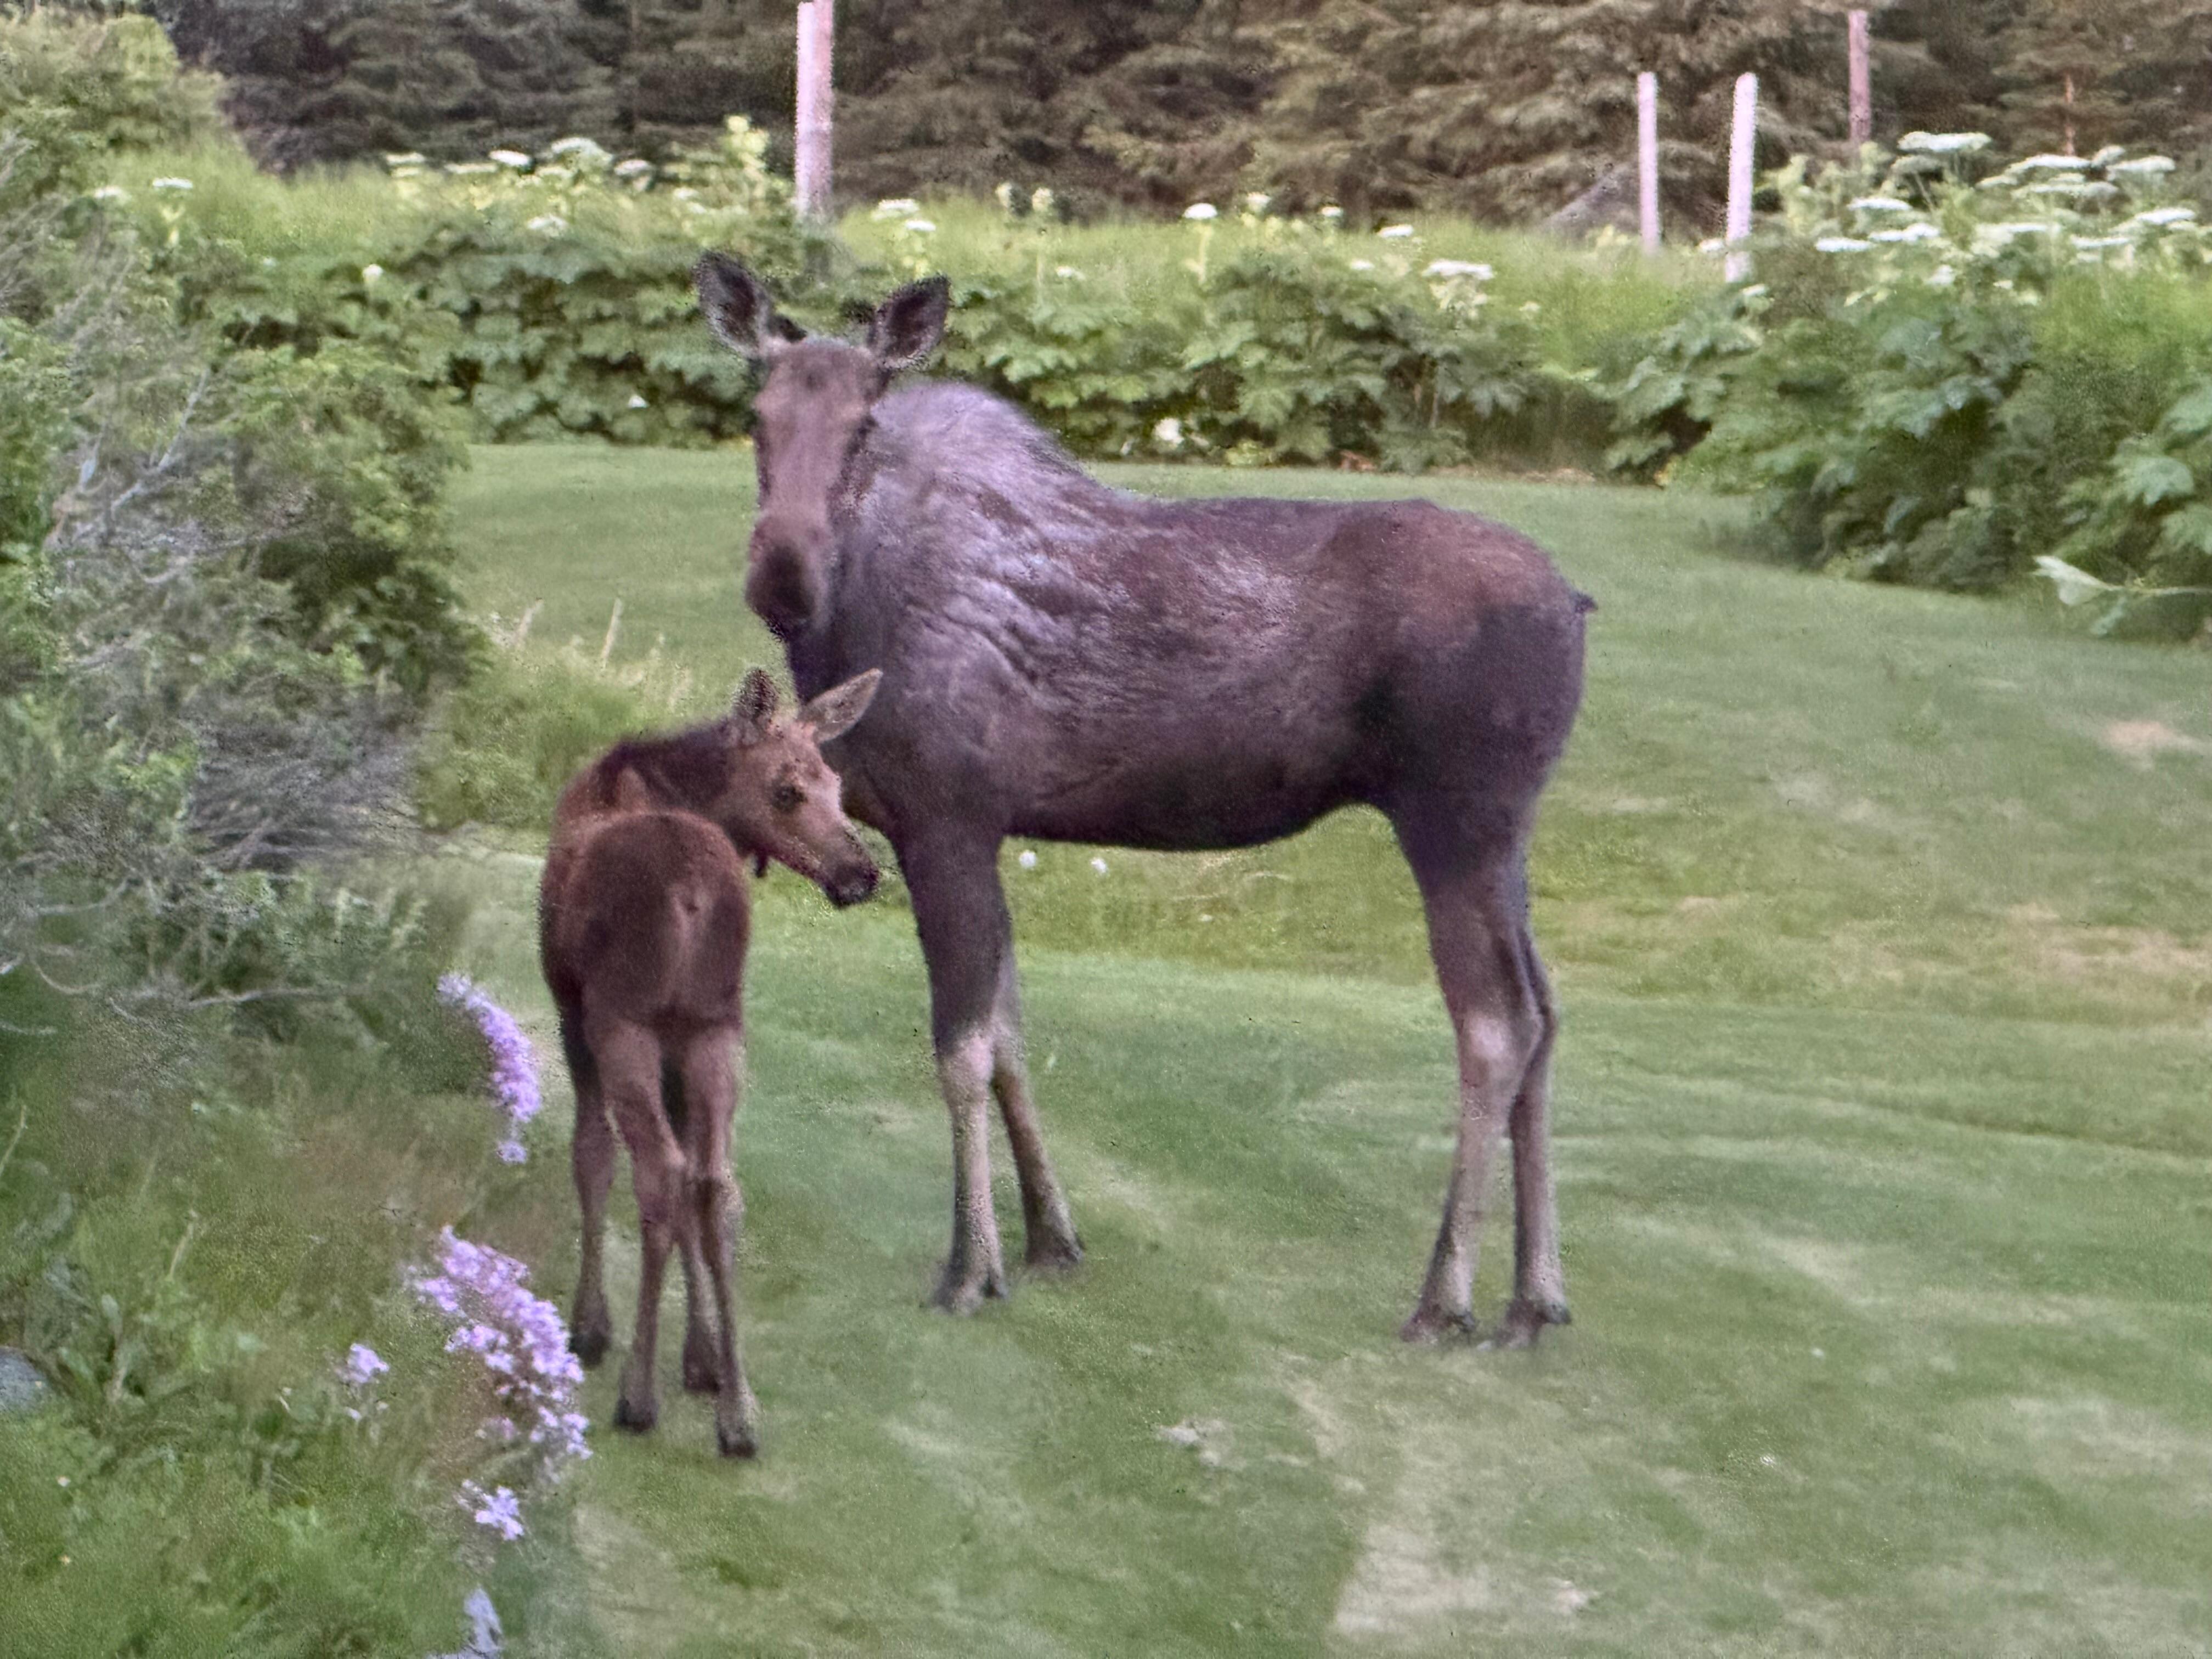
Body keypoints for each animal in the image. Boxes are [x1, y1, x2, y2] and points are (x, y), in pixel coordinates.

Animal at [540, 665, 881, 1455]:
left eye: (835, 786)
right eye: (792, 789)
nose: (862, 872)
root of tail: (694, 892)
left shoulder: (573, 1009)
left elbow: (591, 1154)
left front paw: (593, 1326)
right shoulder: (687, 1035)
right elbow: (700, 1181)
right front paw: (704, 1359)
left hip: (626, 1019)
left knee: (660, 1172)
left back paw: (637, 1394)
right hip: (718, 1025)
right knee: (717, 1183)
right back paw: (740, 1414)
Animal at [692, 252, 1593, 1348]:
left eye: (865, 423)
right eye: (756, 417)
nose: (782, 570)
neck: (849, 626)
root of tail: (1579, 606)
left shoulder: (945, 819)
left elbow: (962, 1048)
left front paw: (971, 1264)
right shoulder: (984, 832)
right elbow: (1012, 1034)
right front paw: (1050, 1238)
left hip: (1454, 821)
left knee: (1497, 1023)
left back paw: (1446, 1294)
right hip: (1510, 836)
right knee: (1548, 1013)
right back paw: (1536, 1293)